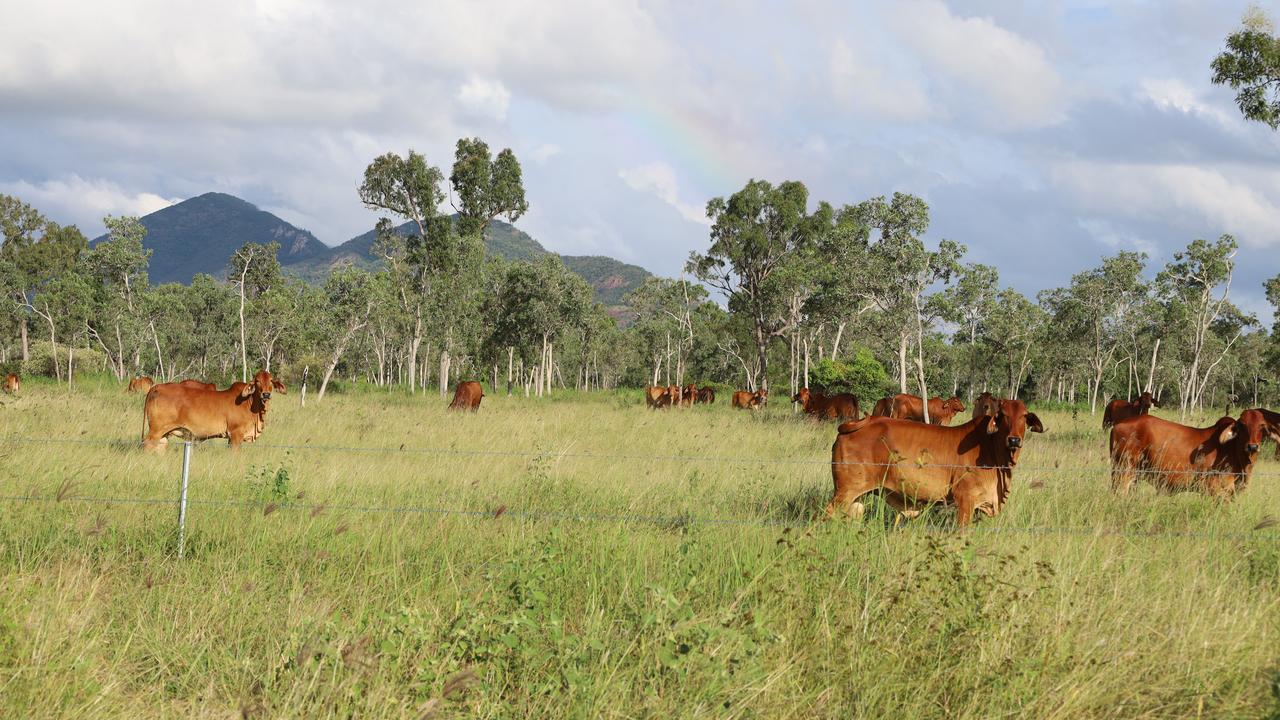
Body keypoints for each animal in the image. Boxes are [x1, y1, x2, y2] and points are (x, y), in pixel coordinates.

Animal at [141, 368, 279, 448]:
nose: (266, 394)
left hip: (164, 432)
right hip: (156, 430)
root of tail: (157, 387)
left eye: (271, 381)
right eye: (257, 381)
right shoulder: (236, 434)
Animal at [829, 394, 1039, 525]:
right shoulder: (965, 499)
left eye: (1024, 417)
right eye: (1002, 415)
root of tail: (856, 425)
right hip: (845, 491)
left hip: (857, 496)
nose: (1014, 440)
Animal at [1105, 407, 1274, 497]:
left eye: (1262, 426)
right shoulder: (1215, 489)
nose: (1252, 447)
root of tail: (1118, 425)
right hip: (1125, 471)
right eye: (1242, 425)